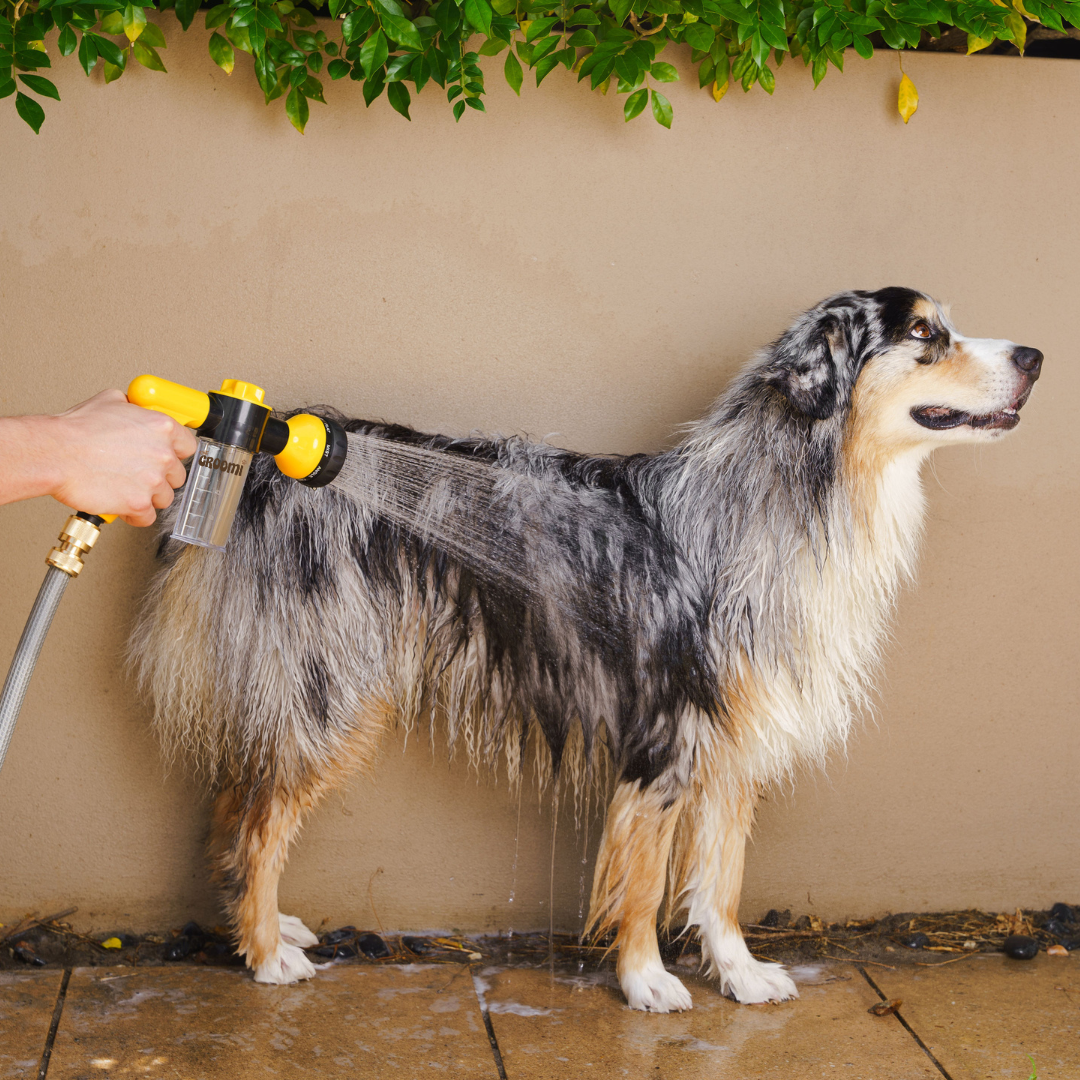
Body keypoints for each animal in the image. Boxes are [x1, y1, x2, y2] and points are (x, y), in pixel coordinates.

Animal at [130, 287, 1041, 1010]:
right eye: (924, 333)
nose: (1035, 353)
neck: (782, 495)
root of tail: (269, 459)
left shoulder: (731, 741)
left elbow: (723, 880)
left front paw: (740, 975)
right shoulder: (665, 736)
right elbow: (643, 882)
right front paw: (648, 982)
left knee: (236, 802)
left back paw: (266, 925)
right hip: (330, 690)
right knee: (259, 824)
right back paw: (262, 954)